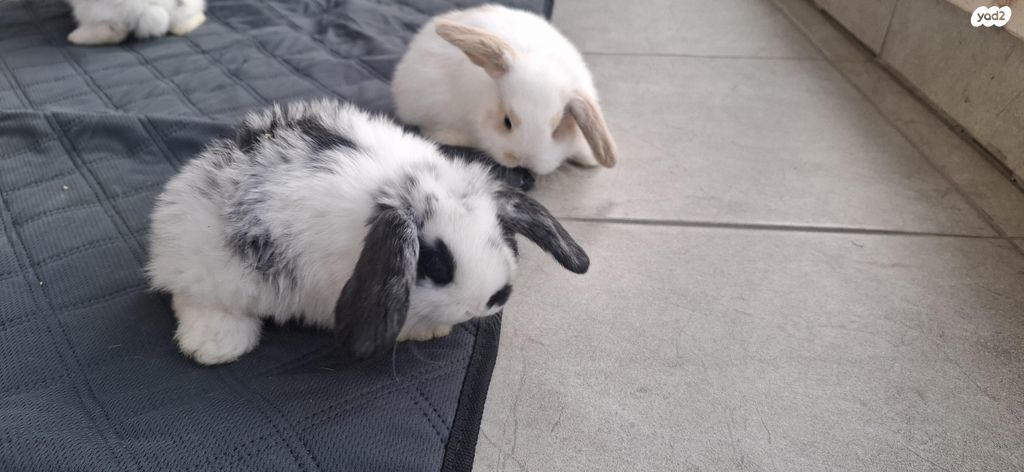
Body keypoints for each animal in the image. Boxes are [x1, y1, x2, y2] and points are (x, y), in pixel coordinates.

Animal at [147, 99, 590, 365]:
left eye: (500, 237)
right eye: (434, 263)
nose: (486, 302)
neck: (397, 186)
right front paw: (428, 330)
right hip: (219, 272)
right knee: (191, 298)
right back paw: (214, 346)